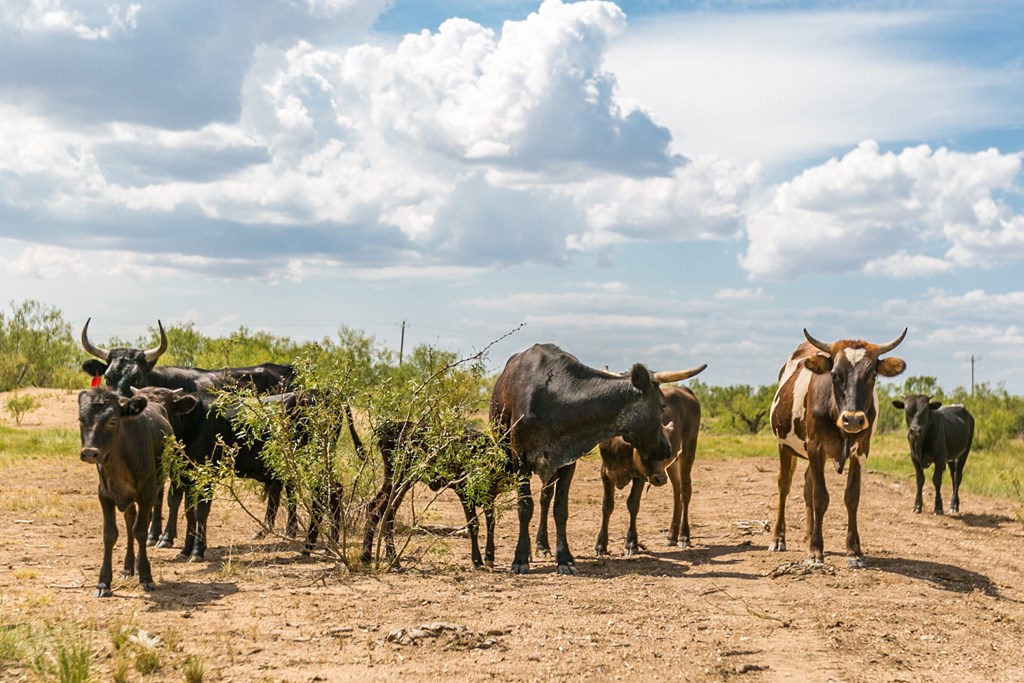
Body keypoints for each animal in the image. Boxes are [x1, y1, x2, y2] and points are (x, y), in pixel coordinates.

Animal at [79, 389, 174, 598]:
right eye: (81, 419)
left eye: (112, 420)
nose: (89, 453)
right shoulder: (104, 494)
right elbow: (110, 534)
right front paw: (103, 582)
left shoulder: (147, 492)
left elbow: (141, 530)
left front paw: (146, 576)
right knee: (130, 520)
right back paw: (128, 567)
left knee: (142, 522)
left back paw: (136, 566)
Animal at [360, 421, 503, 573]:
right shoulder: (463, 492)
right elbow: (473, 524)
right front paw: (477, 560)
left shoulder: (489, 496)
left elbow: (491, 522)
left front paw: (489, 557)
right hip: (399, 480)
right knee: (381, 511)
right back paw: (380, 558)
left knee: (379, 509)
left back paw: (379, 558)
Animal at [598, 382, 700, 557]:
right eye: (646, 453)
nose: (660, 479)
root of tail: (683, 390)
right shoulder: (605, 473)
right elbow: (607, 506)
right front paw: (601, 545)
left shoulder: (640, 475)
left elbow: (633, 504)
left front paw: (631, 544)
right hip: (673, 464)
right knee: (677, 492)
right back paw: (672, 535)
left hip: (688, 449)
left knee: (685, 491)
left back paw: (684, 536)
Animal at [770, 327, 905, 569]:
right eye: (834, 374)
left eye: (872, 376)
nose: (853, 419)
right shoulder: (815, 447)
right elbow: (820, 497)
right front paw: (815, 551)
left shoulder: (861, 450)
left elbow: (852, 496)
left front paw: (854, 551)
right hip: (784, 445)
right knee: (784, 486)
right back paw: (778, 538)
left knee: (807, 484)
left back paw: (808, 533)